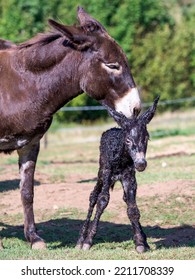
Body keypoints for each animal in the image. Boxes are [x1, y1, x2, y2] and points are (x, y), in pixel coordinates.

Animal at [77, 97, 159, 254]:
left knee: (125, 199)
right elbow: (102, 201)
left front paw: (140, 243)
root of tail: (112, 128)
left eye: (147, 138)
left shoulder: (129, 177)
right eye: (127, 140)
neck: (121, 158)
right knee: (93, 197)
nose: (141, 164)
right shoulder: (107, 173)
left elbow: (132, 208)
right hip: (101, 174)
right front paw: (88, 241)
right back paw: (80, 240)